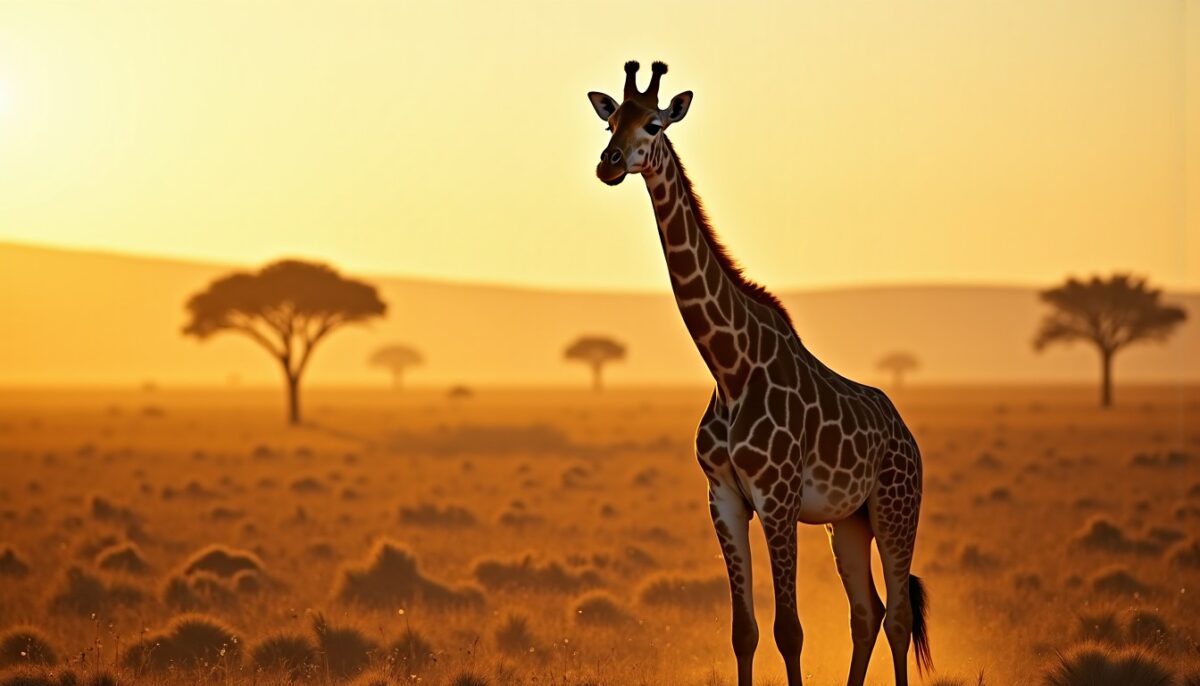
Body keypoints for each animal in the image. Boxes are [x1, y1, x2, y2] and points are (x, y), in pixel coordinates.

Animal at [586, 61, 931, 686]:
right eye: (610, 121)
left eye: (654, 123)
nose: (610, 163)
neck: (729, 366)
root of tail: (906, 435)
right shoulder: (723, 497)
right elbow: (743, 631)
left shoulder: (778, 497)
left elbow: (789, 630)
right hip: (849, 521)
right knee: (866, 612)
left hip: (897, 507)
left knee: (896, 615)